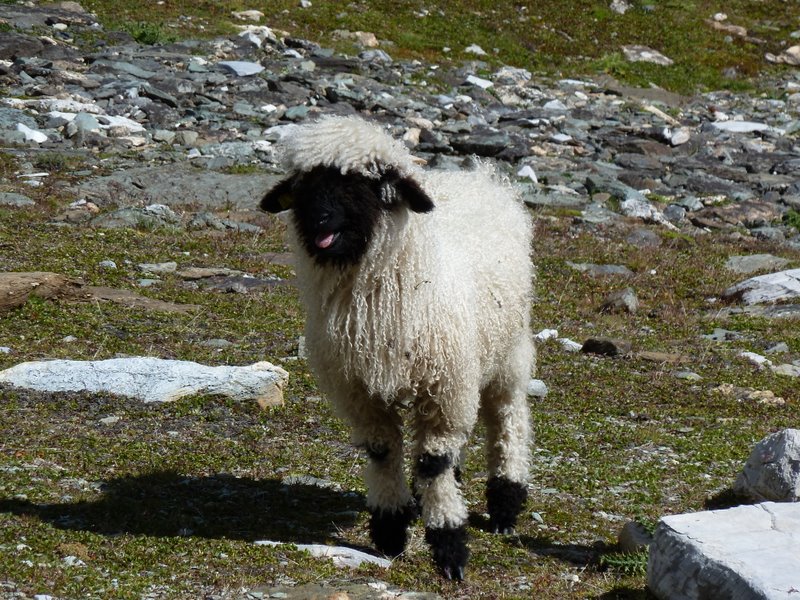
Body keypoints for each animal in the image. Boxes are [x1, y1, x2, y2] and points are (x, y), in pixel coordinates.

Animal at [262, 115, 536, 580]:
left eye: (365, 182)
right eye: (304, 184)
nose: (319, 220)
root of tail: (480, 175)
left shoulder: (444, 388)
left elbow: (432, 463)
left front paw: (449, 544)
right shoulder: (360, 391)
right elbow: (383, 452)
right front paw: (391, 530)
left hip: (507, 352)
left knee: (508, 419)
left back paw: (505, 503)